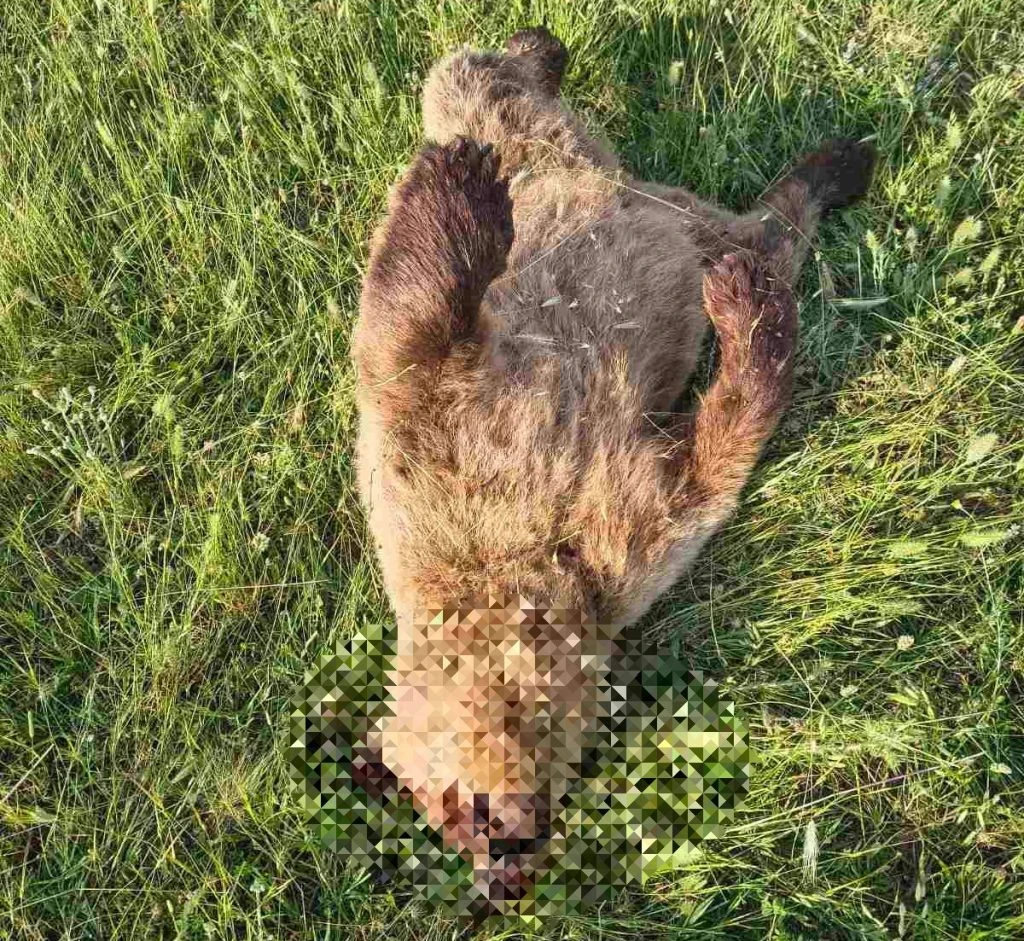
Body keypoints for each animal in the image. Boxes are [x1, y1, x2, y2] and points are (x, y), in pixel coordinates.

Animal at [350, 26, 875, 906]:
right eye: (451, 818)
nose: (505, 865)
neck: (517, 565)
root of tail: (614, 175)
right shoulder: (611, 526)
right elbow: (719, 452)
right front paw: (750, 322)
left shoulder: (453, 435)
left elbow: (413, 319)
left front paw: (459, 191)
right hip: (683, 216)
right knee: (763, 231)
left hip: (599, 181)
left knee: (473, 85)